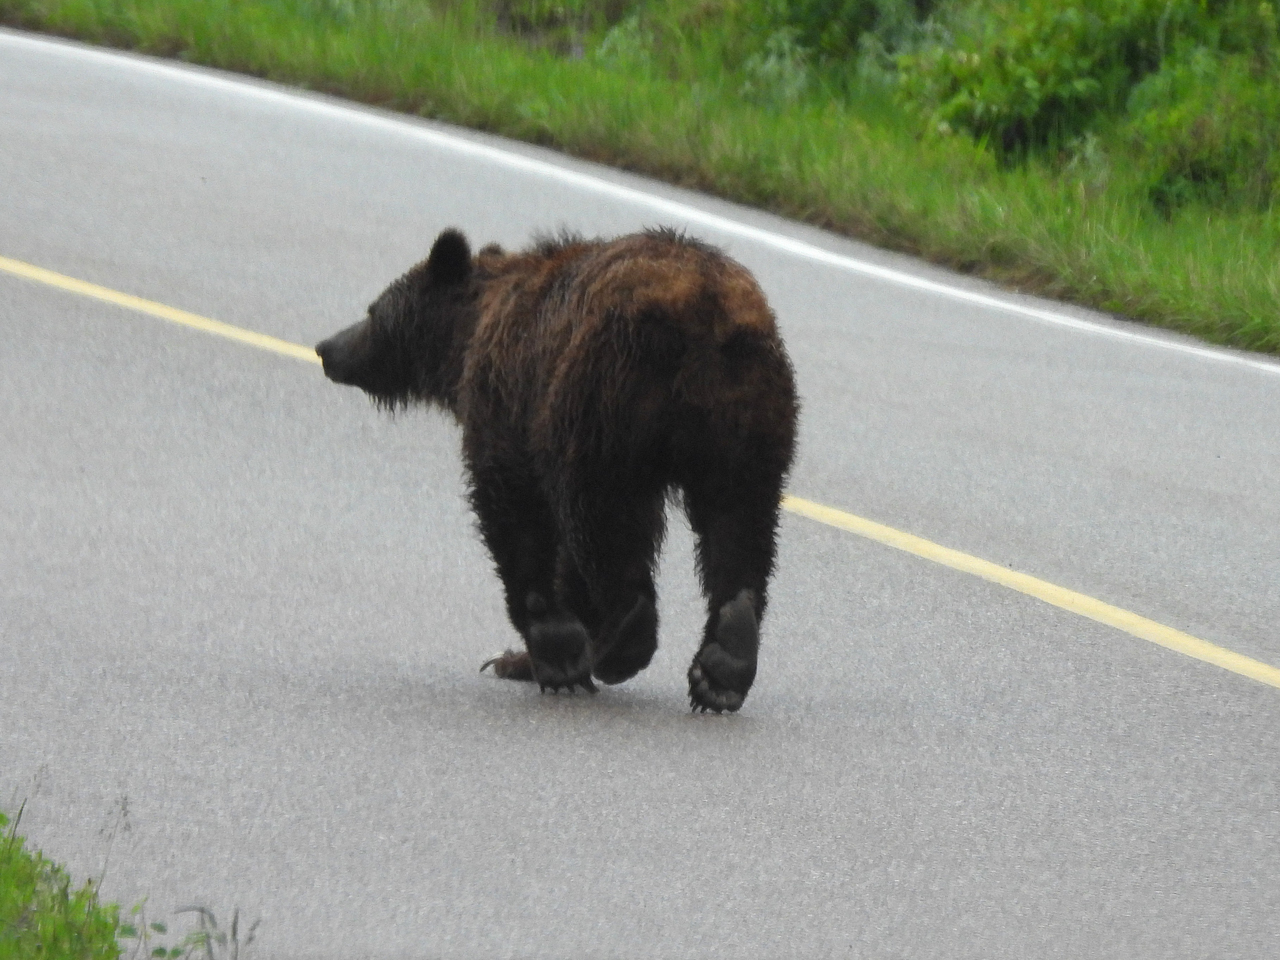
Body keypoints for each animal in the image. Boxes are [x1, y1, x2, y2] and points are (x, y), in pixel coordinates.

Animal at [316, 227, 798, 712]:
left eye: (373, 311)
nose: (326, 348)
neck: (468, 334)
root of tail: (705, 314)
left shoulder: (509, 399)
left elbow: (514, 511)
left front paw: (543, 653)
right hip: (747, 425)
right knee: (740, 526)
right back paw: (725, 660)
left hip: (603, 399)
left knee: (604, 518)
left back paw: (622, 642)